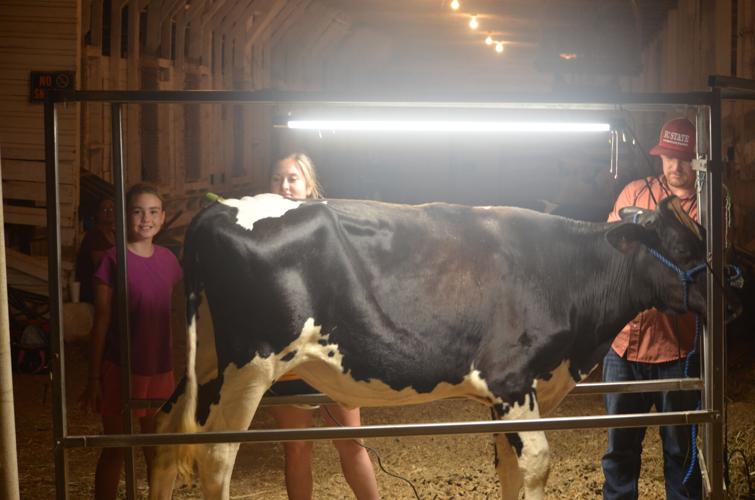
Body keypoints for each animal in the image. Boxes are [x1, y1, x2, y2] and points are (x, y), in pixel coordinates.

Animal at [149, 194, 728, 500]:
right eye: (683, 249)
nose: (734, 295)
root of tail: (217, 210)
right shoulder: (511, 379)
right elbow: (538, 463)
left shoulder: (508, 398)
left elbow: (509, 465)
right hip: (249, 366)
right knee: (215, 457)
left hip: (205, 361)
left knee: (165, 435)